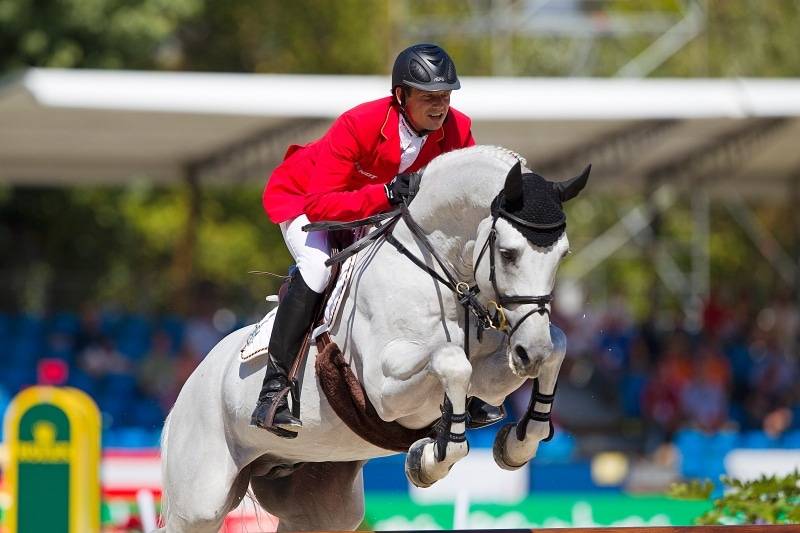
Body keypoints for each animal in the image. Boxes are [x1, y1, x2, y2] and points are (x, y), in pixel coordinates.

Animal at [157, 145, 590, 532]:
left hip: (319, 503)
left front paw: (518, 443)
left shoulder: (491, 371)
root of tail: (183, 394)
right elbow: (451, 361)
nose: (529, 353)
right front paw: (429, 460)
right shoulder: (384, 392)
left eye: (563, 256)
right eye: (508, 253)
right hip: (200, 503)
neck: (435, 271)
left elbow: (556, 345)